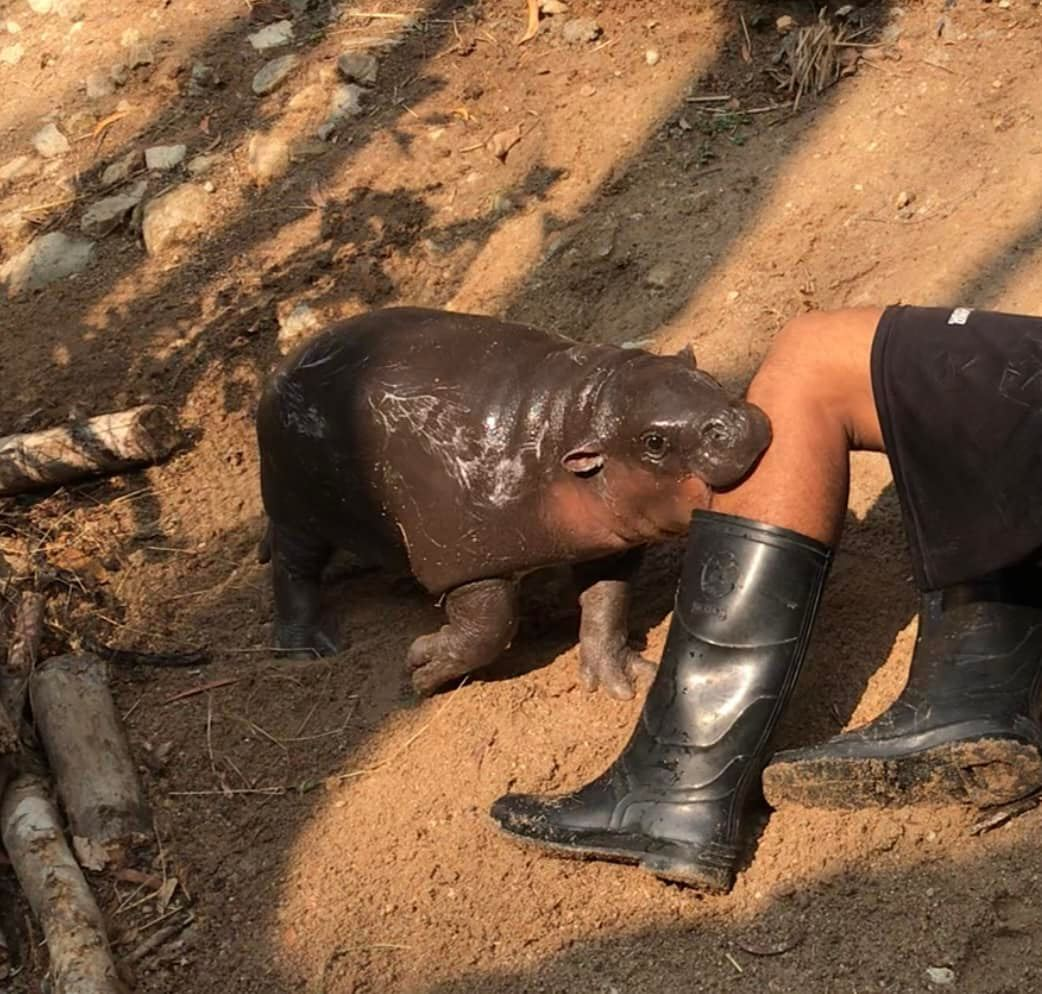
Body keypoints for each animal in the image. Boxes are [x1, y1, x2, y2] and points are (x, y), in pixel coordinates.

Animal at [256, 308, 771, 696]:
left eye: (707, 377)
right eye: (654, 442)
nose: (735, 423)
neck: (573, 420)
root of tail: (280, 367)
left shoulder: (607, 541)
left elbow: (607, 600)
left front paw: (623, 678)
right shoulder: (465, 559)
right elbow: (490, 628)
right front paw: (421, 667)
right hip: (297, 506)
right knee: (293, 565)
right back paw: (309, 649)